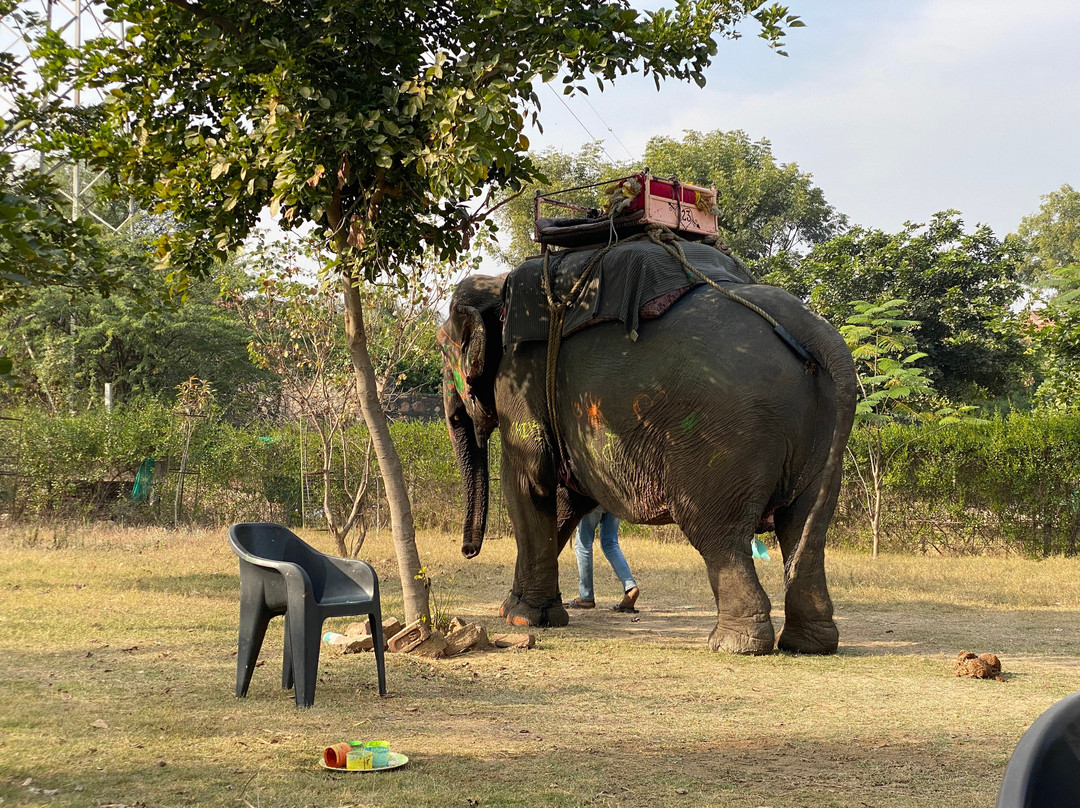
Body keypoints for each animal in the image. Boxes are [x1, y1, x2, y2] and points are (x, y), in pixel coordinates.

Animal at [437, 250, 857, 655]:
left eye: (444, 353)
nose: (468, 551)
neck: (497, 284)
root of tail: (811, 327)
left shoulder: (521, 382)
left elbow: (529, 480)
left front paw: (521, 616)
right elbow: (568, 498)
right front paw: (517, 610)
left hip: (724, 437)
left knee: (719, 534)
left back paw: (735, 645)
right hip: (819, 437)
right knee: (804, 529)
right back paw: (809, 644)